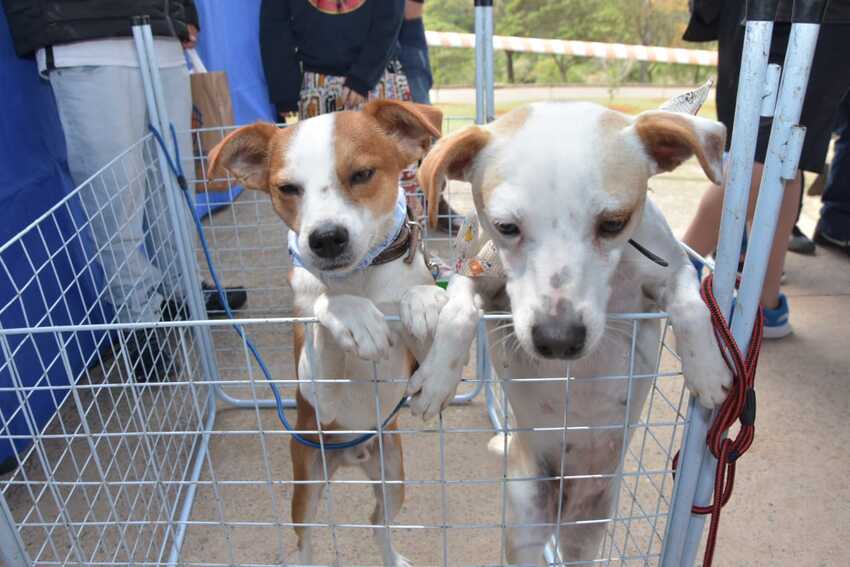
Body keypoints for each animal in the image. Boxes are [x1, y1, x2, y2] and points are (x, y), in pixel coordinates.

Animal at [207, 103, 476, 567]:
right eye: (287, 188)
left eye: (363, 174)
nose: (326, 238)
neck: (362, 278)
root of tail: (351, 456)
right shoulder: (318, 390)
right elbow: (324, 306)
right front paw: (353, 317)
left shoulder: (416, 355)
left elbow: (452, 311)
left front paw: (425, 309)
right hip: (307, 481)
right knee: (305, 538)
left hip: (393, 474)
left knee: (377, 522)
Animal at [414, 100, 732, 564]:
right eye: (505, 227)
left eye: (614, 223)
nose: (558, 341)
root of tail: (567, 495)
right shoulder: (476, 276)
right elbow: (456, 313)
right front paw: (437, 379)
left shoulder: (673, 272)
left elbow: (693, 307)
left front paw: (706, 371)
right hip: (527, 519)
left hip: (590, 523)